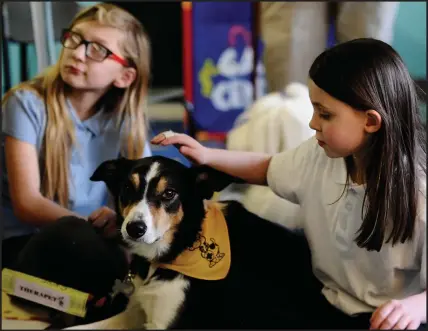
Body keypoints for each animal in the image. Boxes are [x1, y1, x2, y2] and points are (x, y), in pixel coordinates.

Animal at [67, 157, 314, 330]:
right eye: (127, 188)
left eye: (169, 193)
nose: (134, 229)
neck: (182, 245)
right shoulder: (137, 311)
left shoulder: (164, 323)